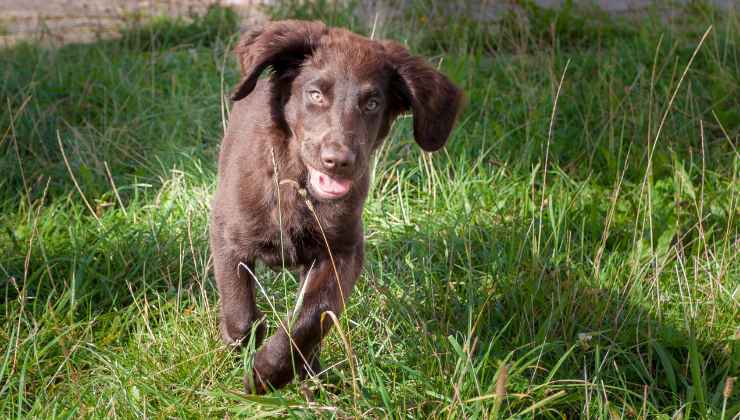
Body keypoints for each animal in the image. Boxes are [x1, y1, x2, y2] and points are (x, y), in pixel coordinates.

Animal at [210, 20, 462, 394]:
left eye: (372, 103)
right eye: (315, 94)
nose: (338, 161)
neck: (298, 186)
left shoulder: (342, 251)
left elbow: (312, 316)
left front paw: (269, 371)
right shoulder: (227, 233)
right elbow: (240, 314)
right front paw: (248, 346)